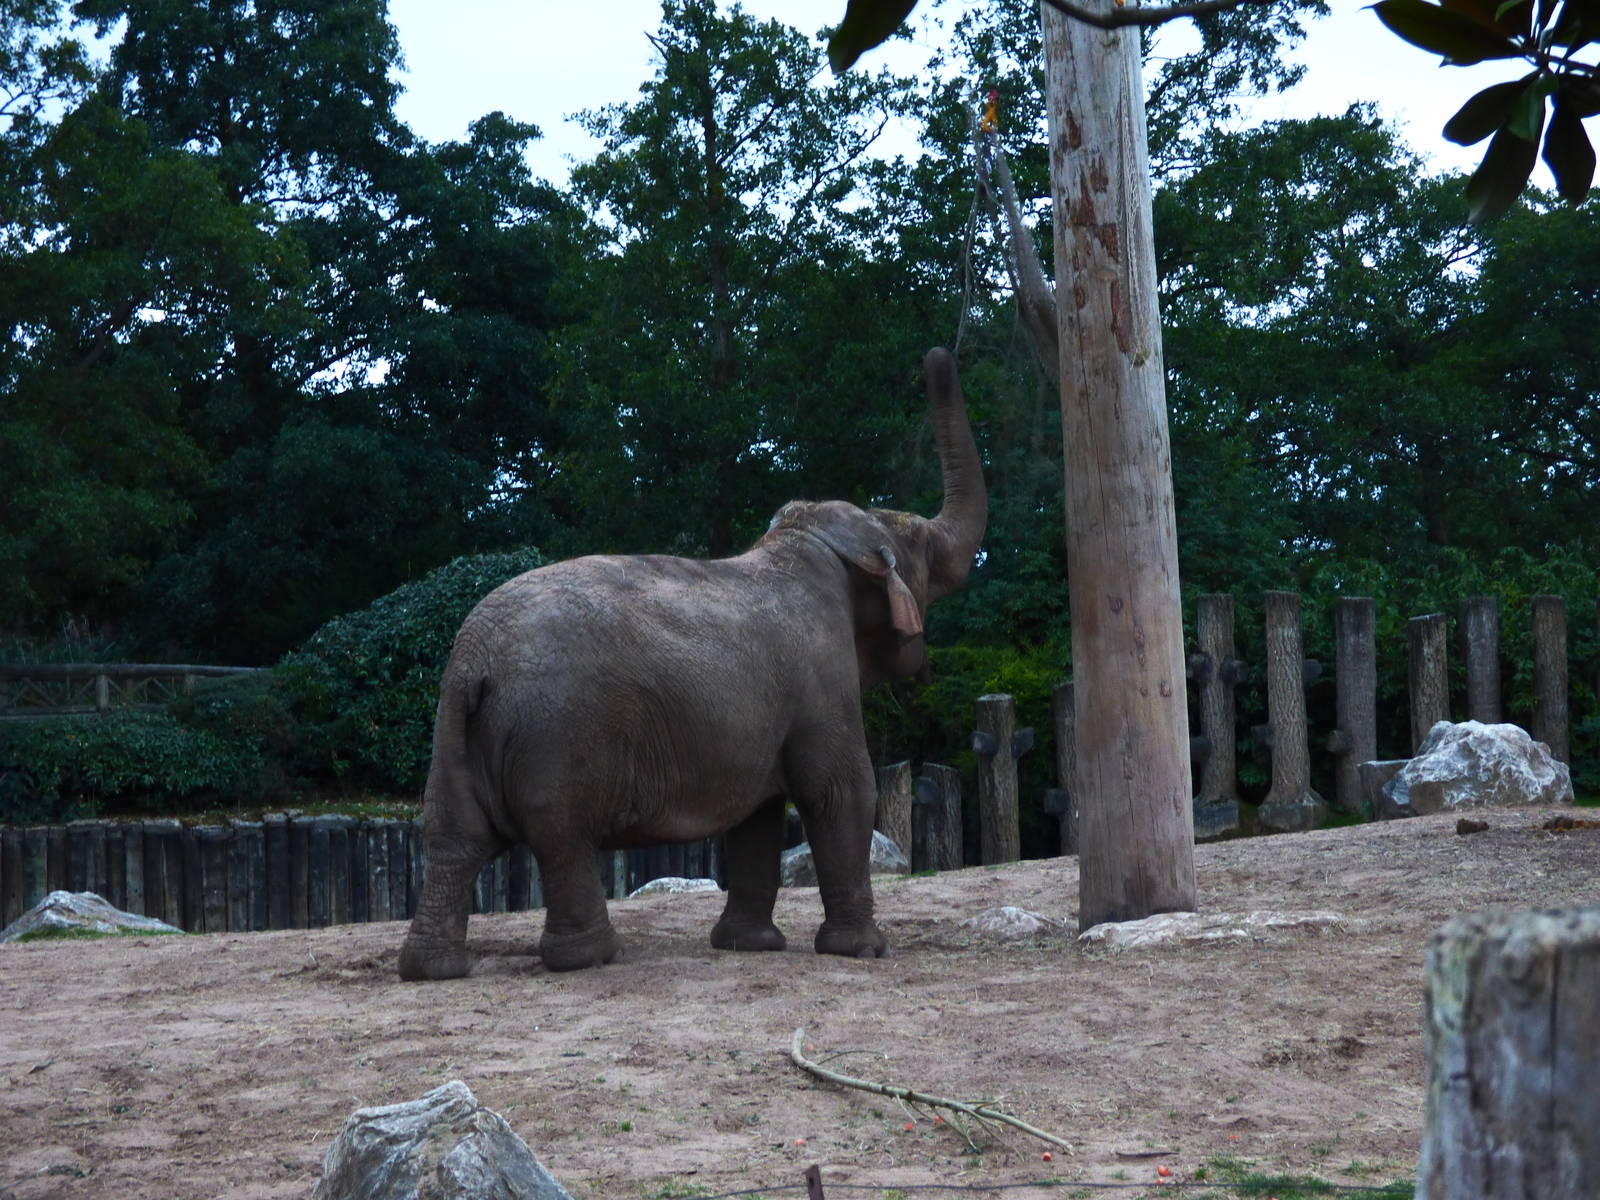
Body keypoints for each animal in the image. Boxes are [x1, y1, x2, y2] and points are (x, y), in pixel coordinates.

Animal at [397, 347, 985, 979]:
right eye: (924, 550)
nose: (938, 355)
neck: (804, 547)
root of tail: (474, 661)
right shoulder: (822, 678)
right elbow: (840, 791)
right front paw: (866, 950)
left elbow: (758, 812)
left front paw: (749, 945)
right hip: (556, 738)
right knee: (561, 836)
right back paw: (593, 957)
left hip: (453, 730)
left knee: (452, 835)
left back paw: (433, 968)